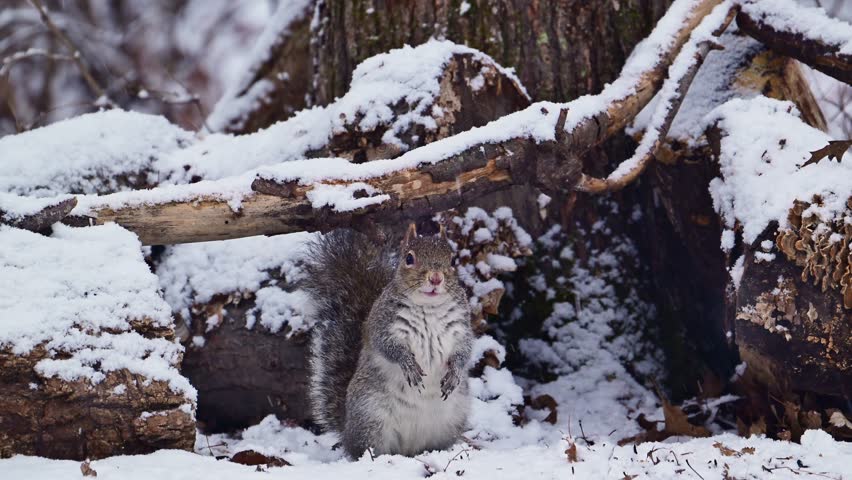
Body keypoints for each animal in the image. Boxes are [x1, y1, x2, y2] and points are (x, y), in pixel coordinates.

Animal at [303, 223, 474, 458]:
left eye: (451, 260)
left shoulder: (461, 327)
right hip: (371, 417)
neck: (428, 306)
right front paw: (409, 365)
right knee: (365, 448)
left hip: (451, 421)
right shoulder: (382, 324)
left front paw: (455, 374)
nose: (436, 278)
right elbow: (388, 347)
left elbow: (464, 351)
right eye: (409, 258)